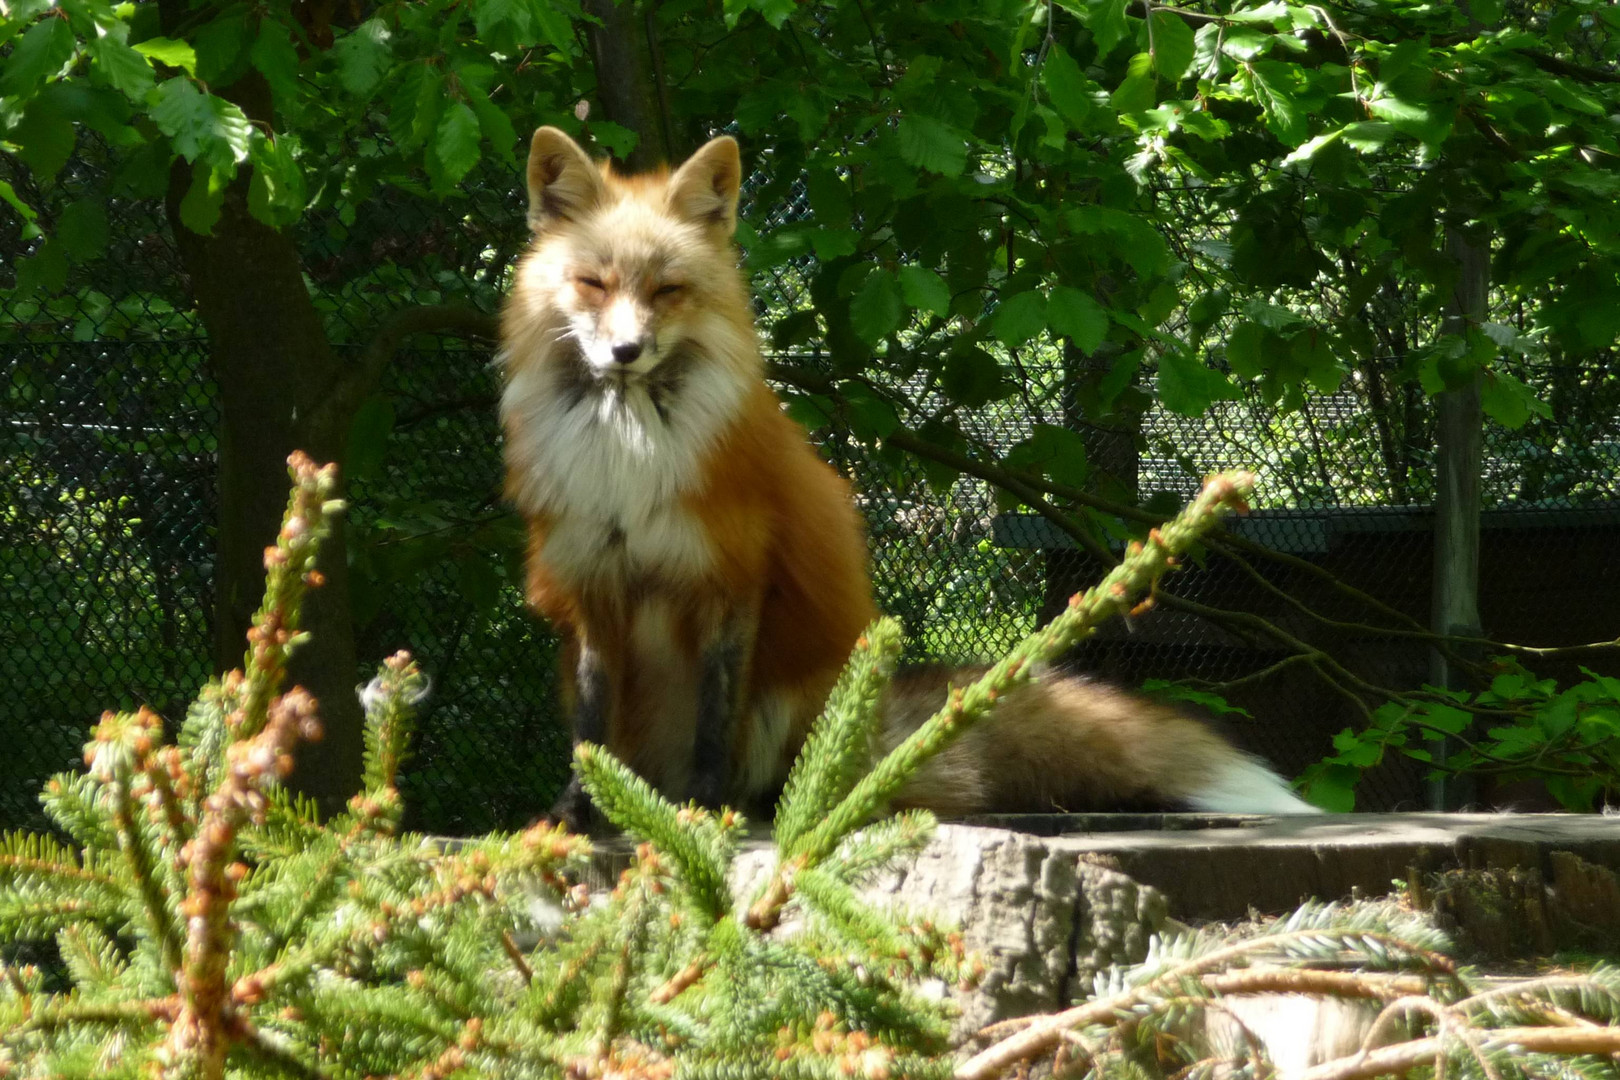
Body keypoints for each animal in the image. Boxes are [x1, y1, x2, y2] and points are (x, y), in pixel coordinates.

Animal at [495, 128, 1315, 835]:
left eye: (666, 290)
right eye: (592, 283)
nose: (626, 352)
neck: (626, 448)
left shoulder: (731, 576)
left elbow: (712, 724)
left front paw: (703, 810)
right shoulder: (590, 580)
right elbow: (590, 731)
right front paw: (575, 813)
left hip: (796, 703)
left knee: (811, 786)